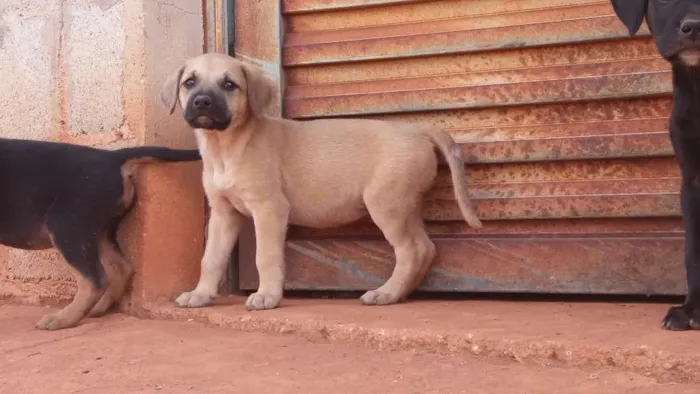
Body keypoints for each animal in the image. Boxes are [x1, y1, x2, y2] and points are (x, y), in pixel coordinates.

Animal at [0, 139, 200, 330]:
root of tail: (112, 158)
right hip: (98, 230)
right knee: (121, 268)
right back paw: (97, 308)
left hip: (67, 225)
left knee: (94, 280)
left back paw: (63, 319)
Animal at [161, 53, 484, 310]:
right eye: (190, 82)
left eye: (229, 85)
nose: (202, 101)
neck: (226, 146)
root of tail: (418, 129)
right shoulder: (223, 214)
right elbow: (211, 258)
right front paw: (201, 294)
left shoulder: (269, 209)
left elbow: (265, 256)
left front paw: (267, 296)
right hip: (405, 204)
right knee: (426, 248)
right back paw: (399, 293)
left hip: (387, 205)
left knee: (412, 251)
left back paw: (386, 293)